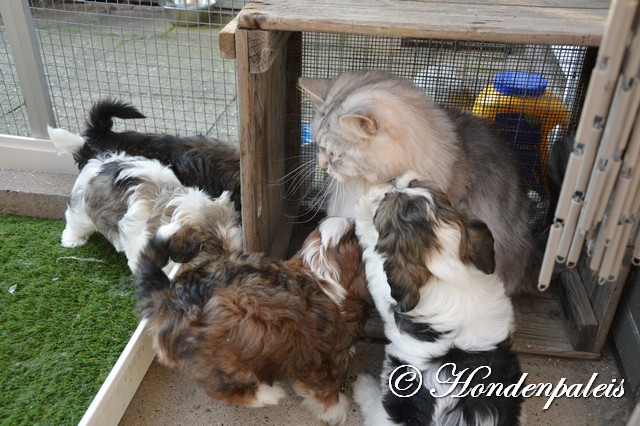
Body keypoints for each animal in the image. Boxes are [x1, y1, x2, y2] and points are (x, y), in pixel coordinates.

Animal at [138, 218, 372, 424]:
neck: (321, 269)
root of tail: (167, 297)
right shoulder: (323, 360)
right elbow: (325, 389)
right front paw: (335, 411)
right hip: (222, 354)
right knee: (223, 388)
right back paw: (268, 394)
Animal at [352, 173, 524, 426]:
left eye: (392, 203)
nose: (397, 182)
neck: (452, 275)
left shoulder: (386, 281)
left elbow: (374, 253)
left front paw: (367, 201)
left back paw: (364, 387)